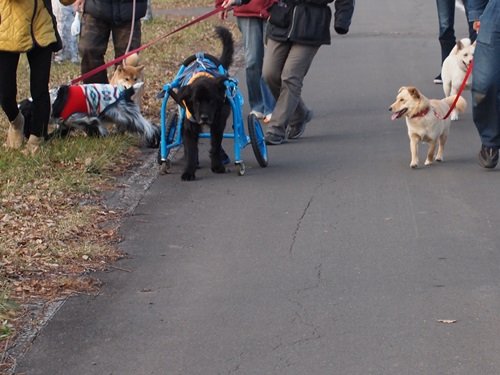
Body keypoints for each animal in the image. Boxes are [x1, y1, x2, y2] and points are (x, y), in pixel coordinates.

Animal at [170, 26, 234, 181]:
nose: (204, 117)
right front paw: (189, 171)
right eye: (196, 102)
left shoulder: (218, 122)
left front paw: (217, 166)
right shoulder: (189, 125)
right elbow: (191, 149)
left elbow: (215, 145)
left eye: (211, 101)